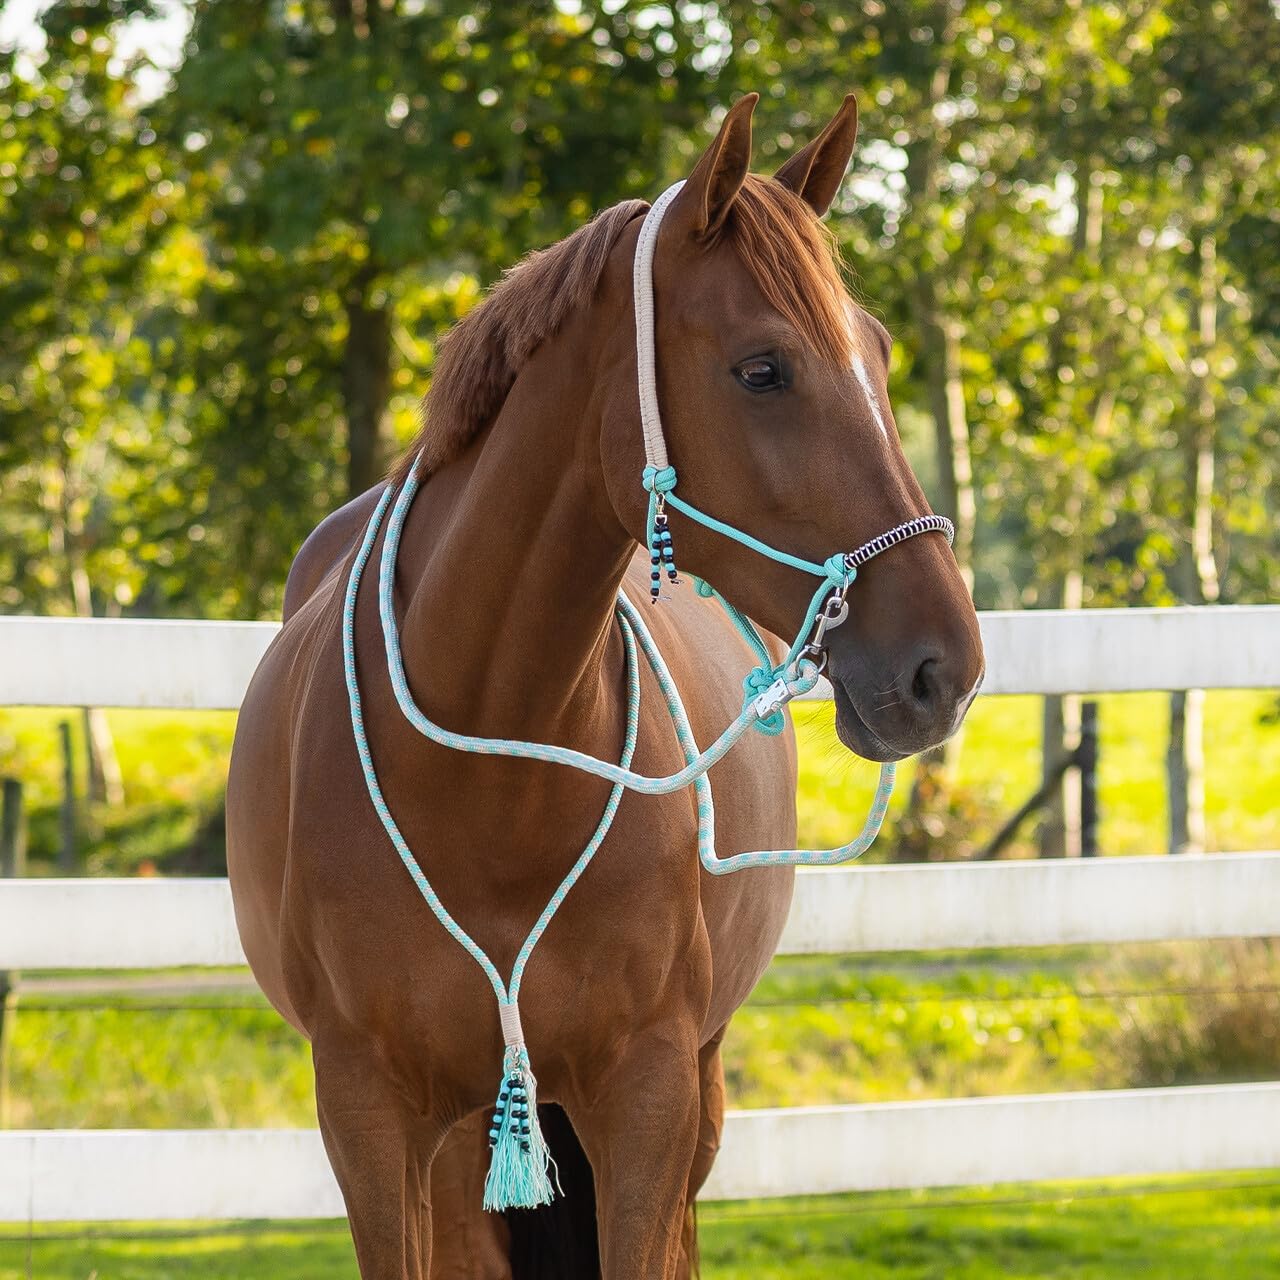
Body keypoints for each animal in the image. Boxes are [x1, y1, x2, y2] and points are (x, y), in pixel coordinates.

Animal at [226, 91, 984, 1280]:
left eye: (879, 348)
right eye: (762, 369)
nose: (941, 664)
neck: (488, 777)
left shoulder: (649, 1094)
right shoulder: (366, 1115)